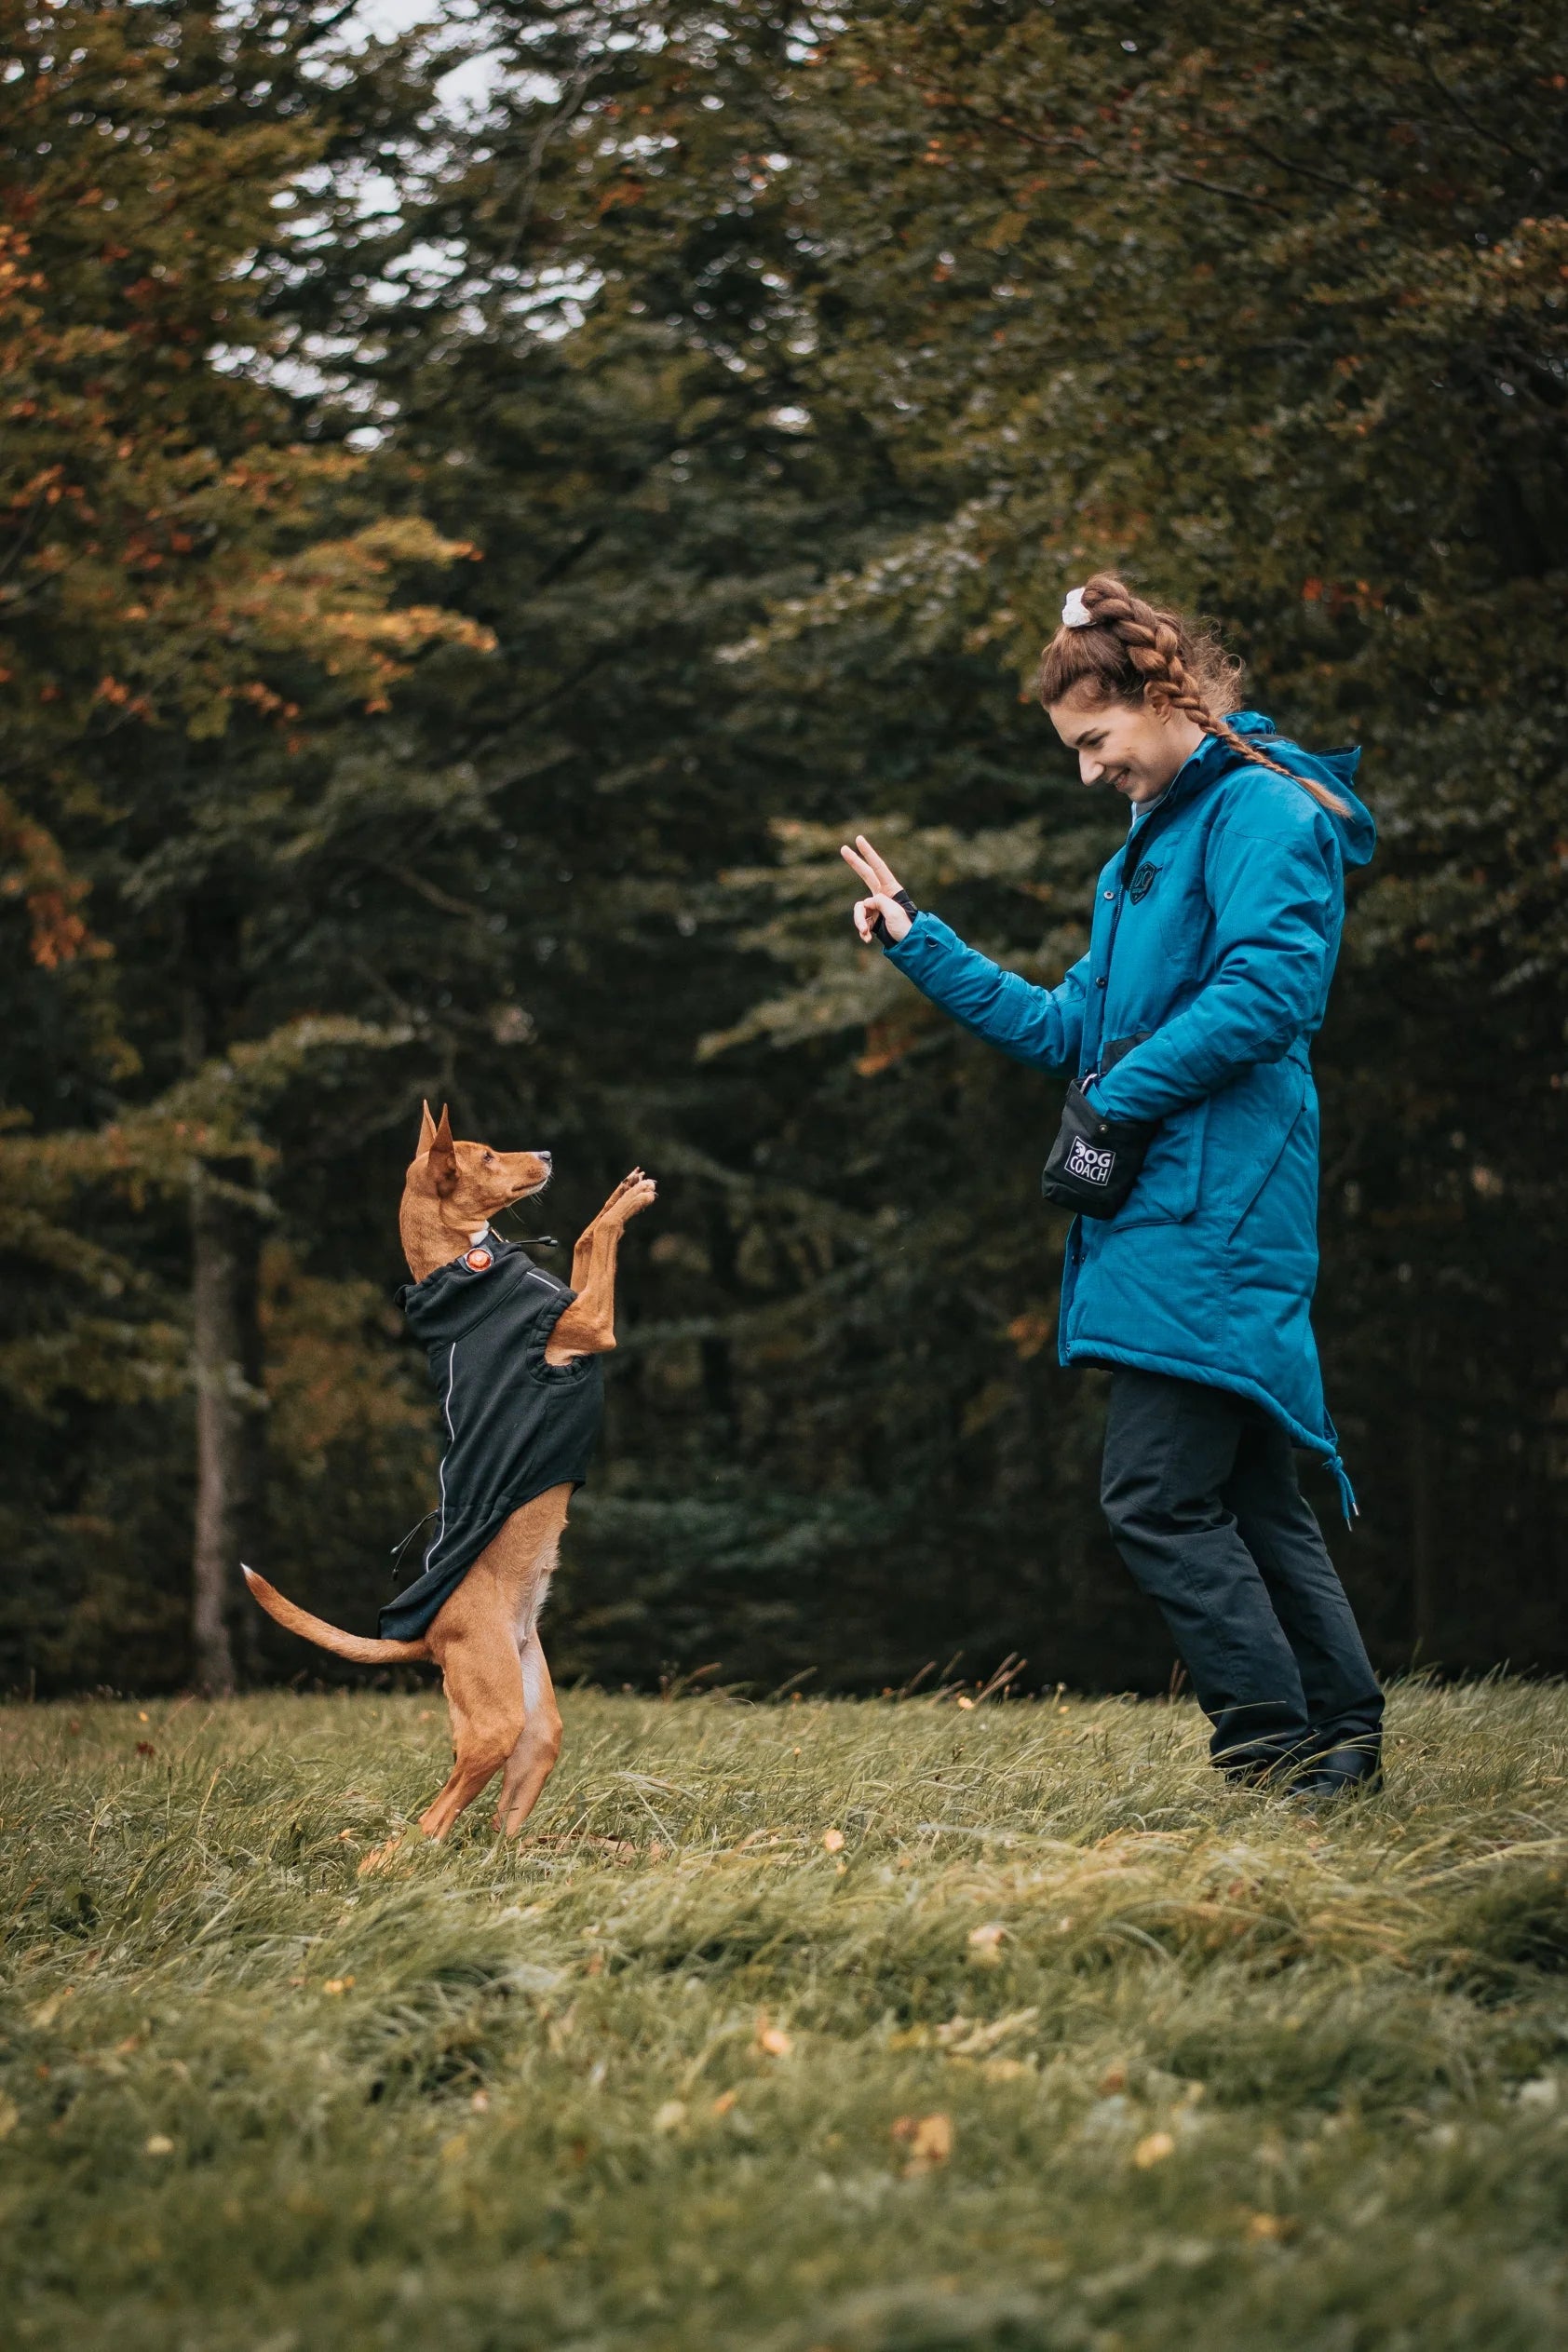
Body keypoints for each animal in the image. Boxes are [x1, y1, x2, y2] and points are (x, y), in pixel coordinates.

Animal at [243, 1110, 657, 1862]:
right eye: (487, 1155)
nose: (546, 1152)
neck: (462, 1273)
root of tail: (429, 1636)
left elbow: (585, 1246)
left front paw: (617, 1191)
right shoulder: (588, 1325)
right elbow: (593, 1235)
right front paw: (624, 1203)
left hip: (535, 1726)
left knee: (499, 1831)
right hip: (495, 1721)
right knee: (433, 1821)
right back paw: (389, 1865)